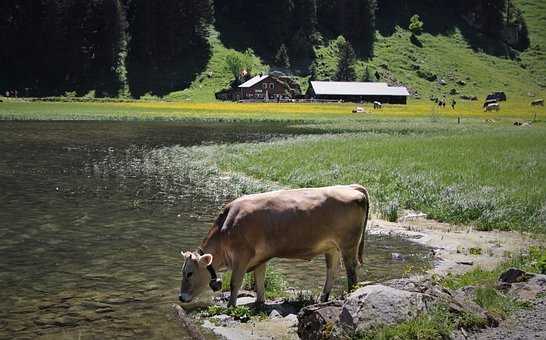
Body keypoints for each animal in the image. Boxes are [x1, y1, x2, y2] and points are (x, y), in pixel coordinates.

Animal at [178, 185, 370, 306]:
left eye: (189, 273)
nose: (180, 297)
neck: (226, 227)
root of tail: (351, 187)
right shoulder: (259, 257)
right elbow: (259, 279)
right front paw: (259, 302)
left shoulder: (241, 256)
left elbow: (235, 283)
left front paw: (231, 306)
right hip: (331, 247)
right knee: (332, 270)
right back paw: (323, 298)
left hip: (348, 244)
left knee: (351, 271)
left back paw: (350, 294)